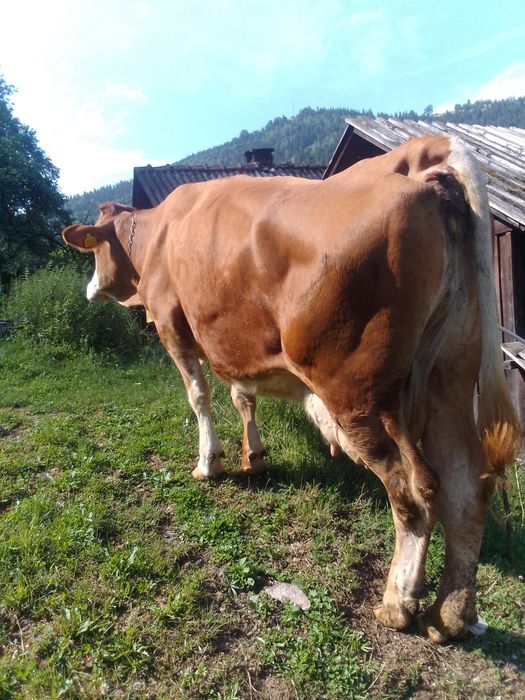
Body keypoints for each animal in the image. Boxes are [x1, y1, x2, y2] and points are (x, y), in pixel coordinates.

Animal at [62, 135, 521, 643]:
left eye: (93, 251)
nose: (88, 288)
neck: (158, 234)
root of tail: (421, 153)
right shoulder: (237, 346)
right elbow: (242, 396)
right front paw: (254, 456)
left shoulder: (171, 326)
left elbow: (199, 396)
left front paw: (208, 462)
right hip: (450, 376)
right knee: (465, 487)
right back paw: (450, 615)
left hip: (358, 397)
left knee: (415, 492)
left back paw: (397, 604)